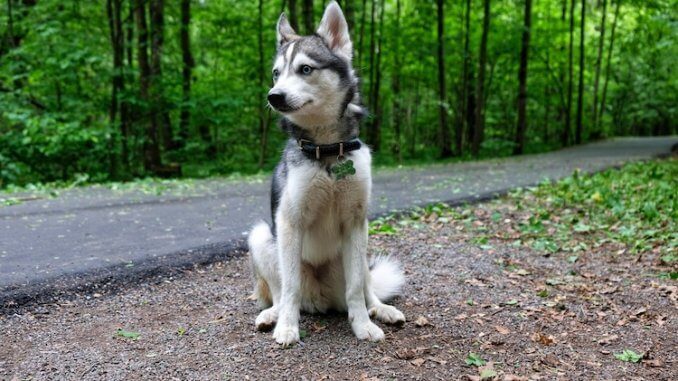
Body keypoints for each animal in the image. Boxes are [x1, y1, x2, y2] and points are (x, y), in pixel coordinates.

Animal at [250, 0, 410, 344]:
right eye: (276, 73)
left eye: (305, 69)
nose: (274, 96)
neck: (327, 151)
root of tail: (321, 299)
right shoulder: (289, 222)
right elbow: (290, 287)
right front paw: (287, 327)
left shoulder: (355, 222)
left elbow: (355, 289)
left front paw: (363, 325)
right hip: (262, 237)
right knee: (281, 292)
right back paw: (273, 314)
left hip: (360, 247)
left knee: (365, 286)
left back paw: (380, 309)